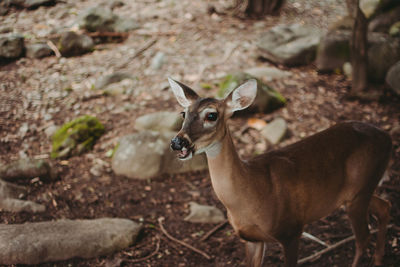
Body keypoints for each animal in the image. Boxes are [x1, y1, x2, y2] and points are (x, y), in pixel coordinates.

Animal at [167, 78, 392, 267]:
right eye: (183, 113)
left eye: (211, 115)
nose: (178, 142)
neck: (251, 193)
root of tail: (387, 137)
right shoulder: (251, 239)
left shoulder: (292, 230)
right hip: (359, 191)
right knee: (384, 206)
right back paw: (379, 259)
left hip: (360, 191)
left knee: (363, 238)